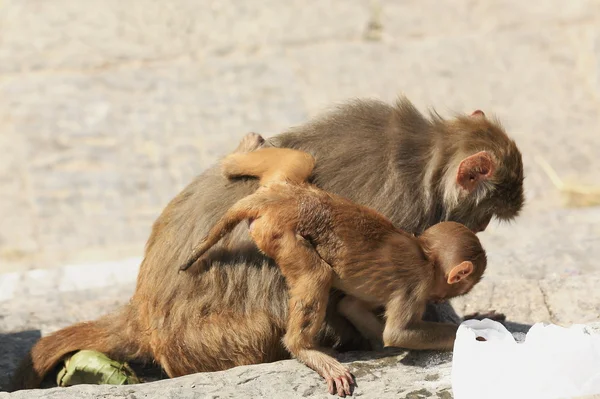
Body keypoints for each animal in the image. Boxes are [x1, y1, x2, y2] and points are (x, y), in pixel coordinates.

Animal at [179, 148, 488, 396]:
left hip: (285, 184)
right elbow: (399, 332)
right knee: (317, 275)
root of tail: (276, 201)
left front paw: (378, 345)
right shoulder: (416, 286)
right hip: (278, 233)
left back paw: (234, 157)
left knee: (302, 158)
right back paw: (304, 349)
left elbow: (351, 306)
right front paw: (470, 333)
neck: (425, 254)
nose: (440, 299)